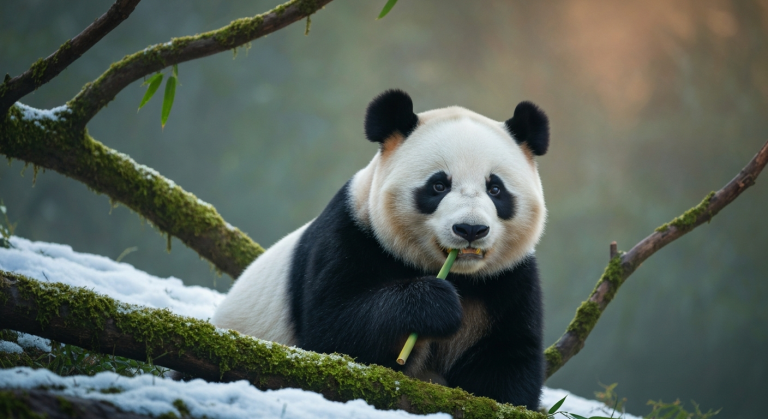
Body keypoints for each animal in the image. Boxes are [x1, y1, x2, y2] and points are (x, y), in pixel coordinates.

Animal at [212, 89, 549, 410]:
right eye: (439, 186)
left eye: (495, 189)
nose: (470, 229)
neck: (459, 277)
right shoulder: (352, 235)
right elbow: (334, 332)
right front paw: (434, 304)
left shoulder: (507, 280)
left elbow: (506, 360)